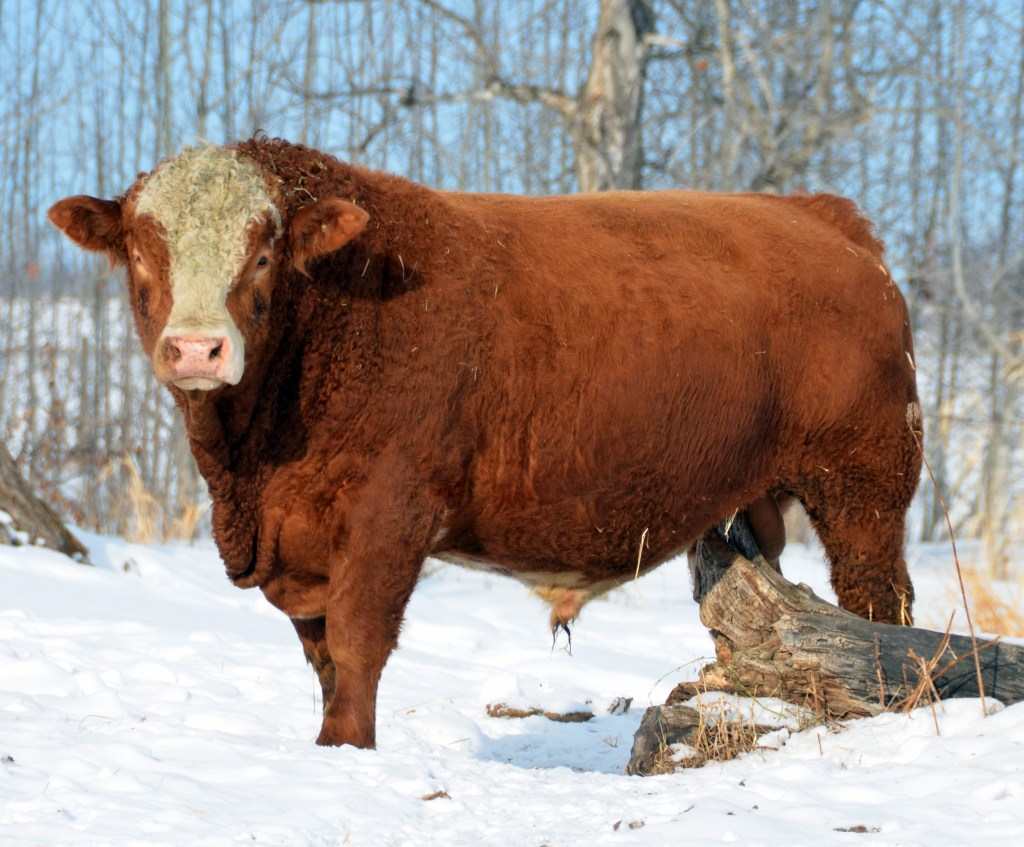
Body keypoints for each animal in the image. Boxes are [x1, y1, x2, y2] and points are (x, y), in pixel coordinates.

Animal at [49, 136, 922, 749]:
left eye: (261, 254)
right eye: (141, 251)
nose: (197, 348)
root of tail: (821, 214)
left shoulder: (390, 513)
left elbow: (358, 643)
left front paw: (346, 751)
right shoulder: (297, 541)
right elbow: (322, 656)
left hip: (866, 484)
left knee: (880, 605)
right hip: (768, 500)